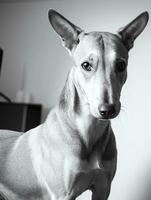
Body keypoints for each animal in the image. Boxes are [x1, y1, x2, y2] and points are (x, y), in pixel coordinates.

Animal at [0, 10, 149, 200]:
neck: (89, 130)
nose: (107, 110)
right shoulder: (63, 195)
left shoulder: (103, 188)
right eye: (86, 65)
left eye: (121, 65)